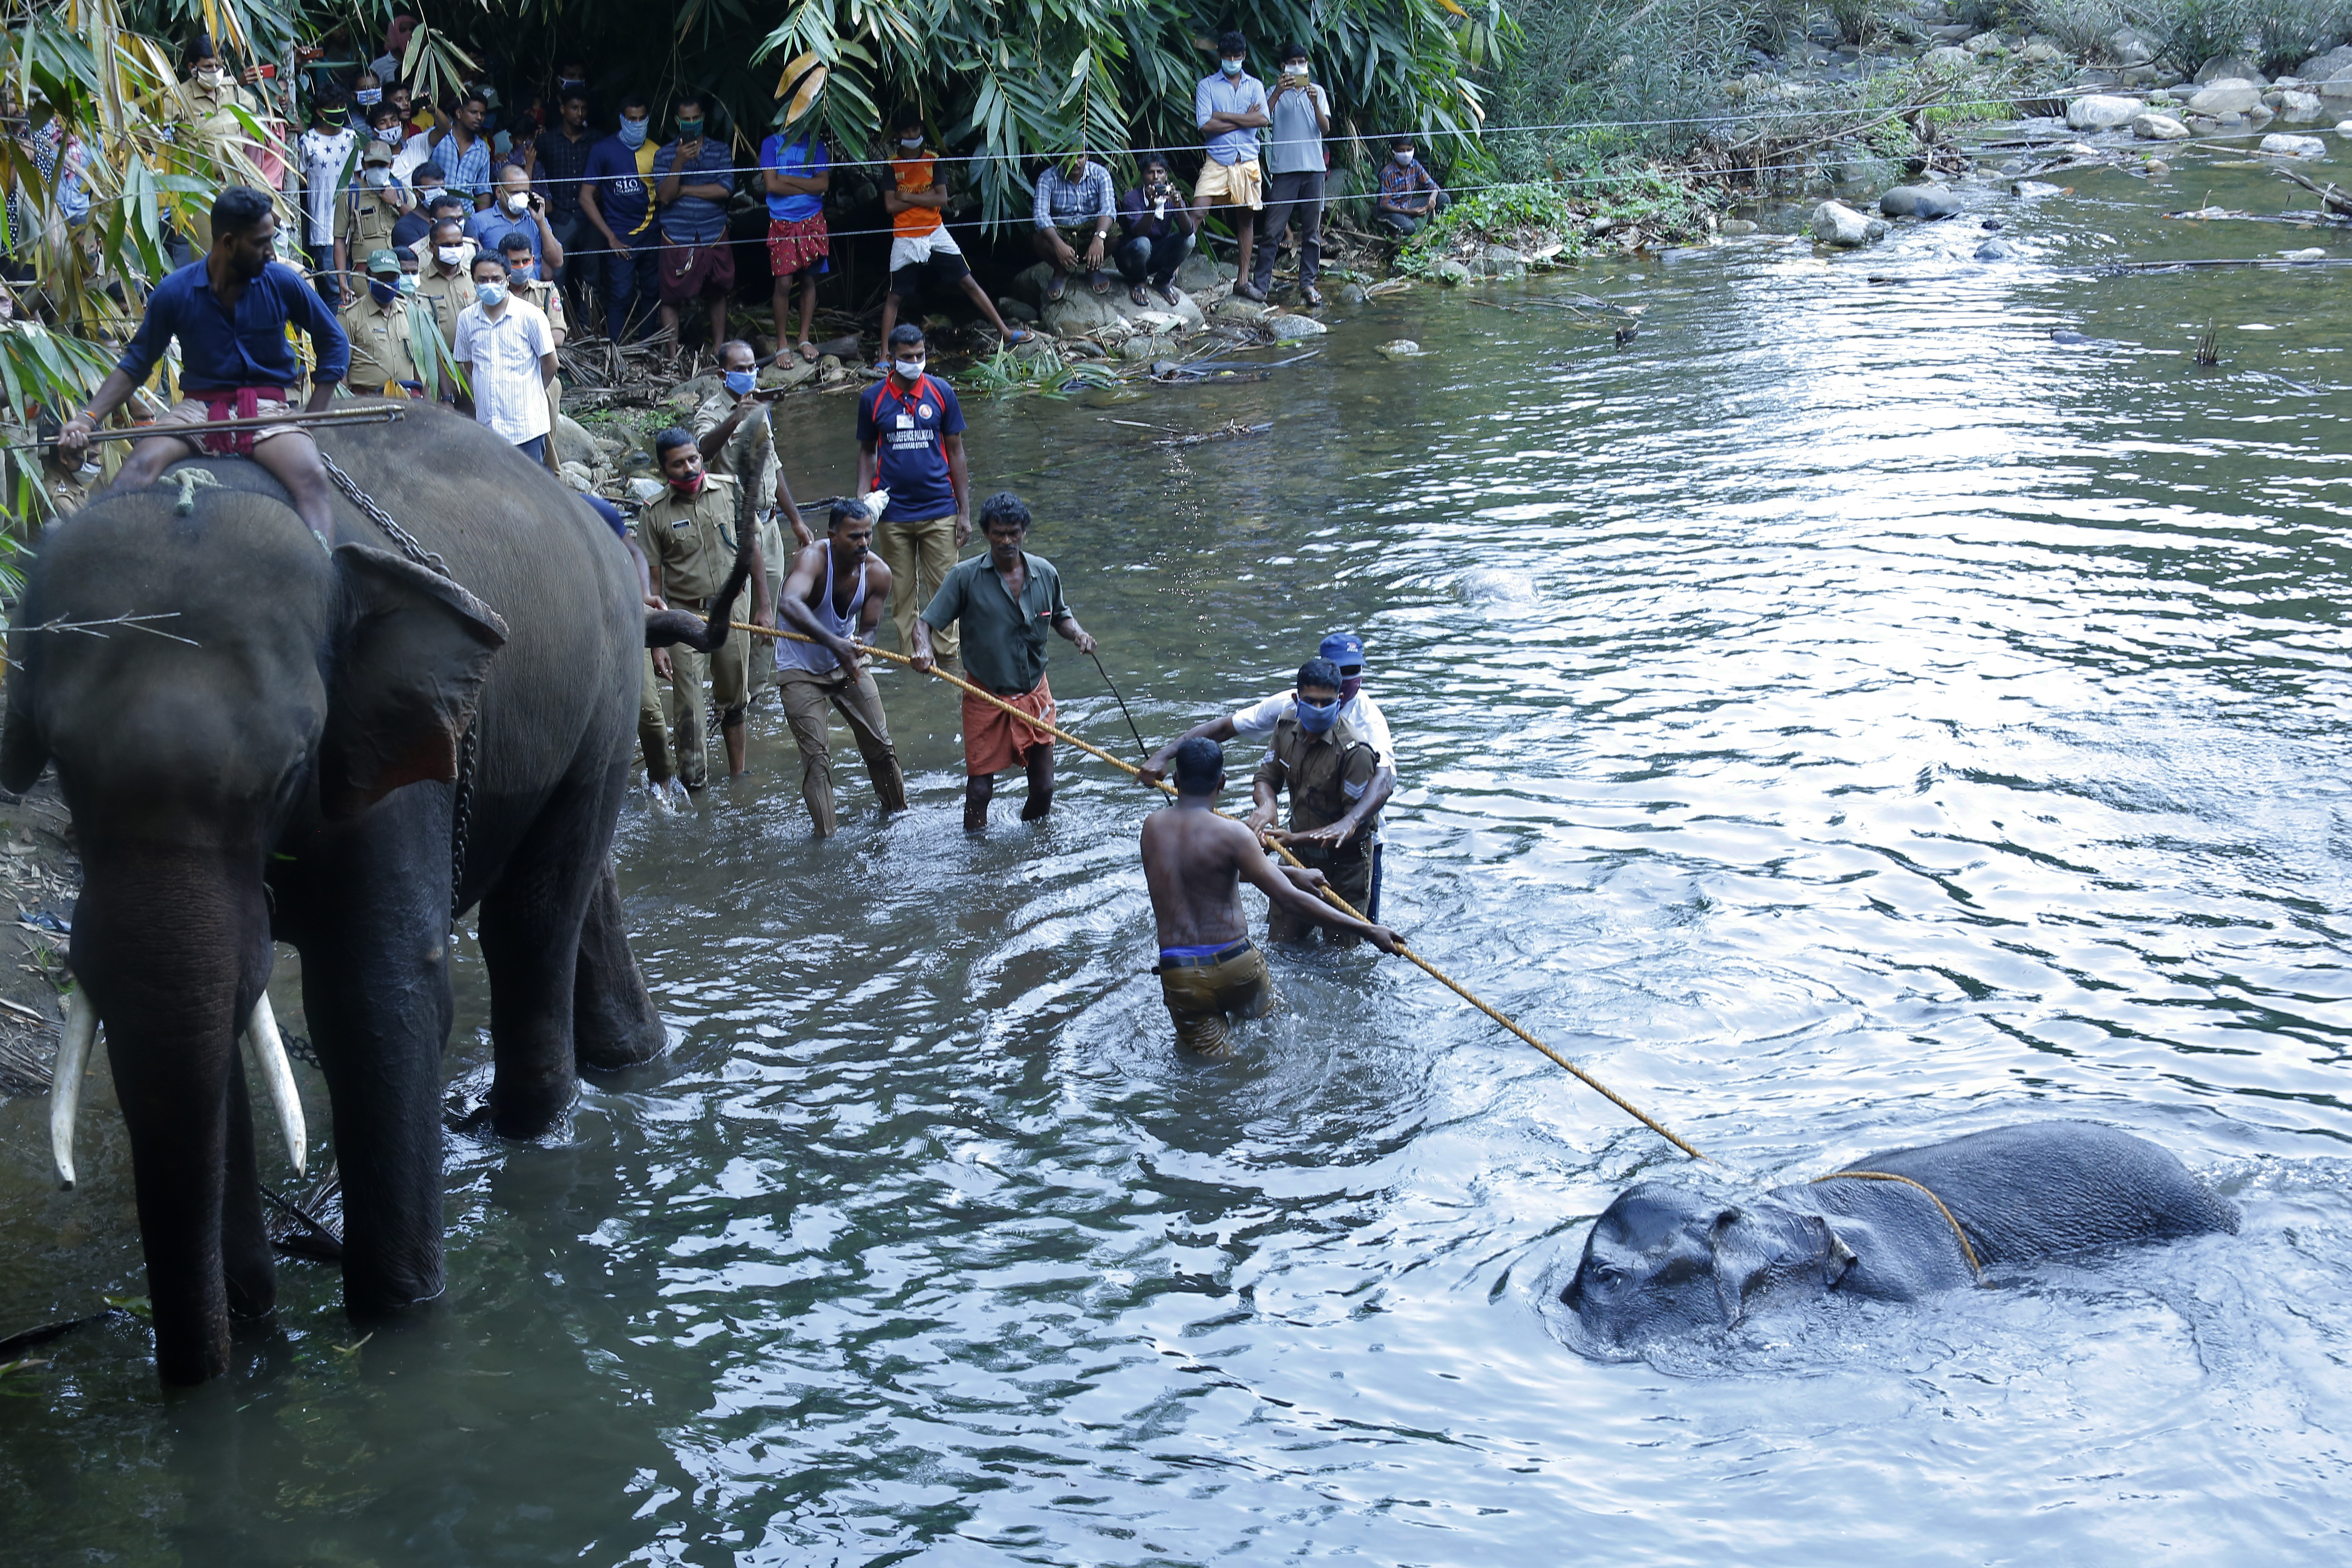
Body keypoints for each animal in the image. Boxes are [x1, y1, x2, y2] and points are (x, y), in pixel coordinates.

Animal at [2, 404, 743, 1382]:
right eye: (61, 765)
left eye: (291, 765)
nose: (206, 1368)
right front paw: (255, 1335)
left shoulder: (402, 745)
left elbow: (374, 993)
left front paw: (396, 1323)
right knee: (578, 892)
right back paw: (630, 1060)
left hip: (606, 689)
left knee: (531, 920)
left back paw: (527, 1130)